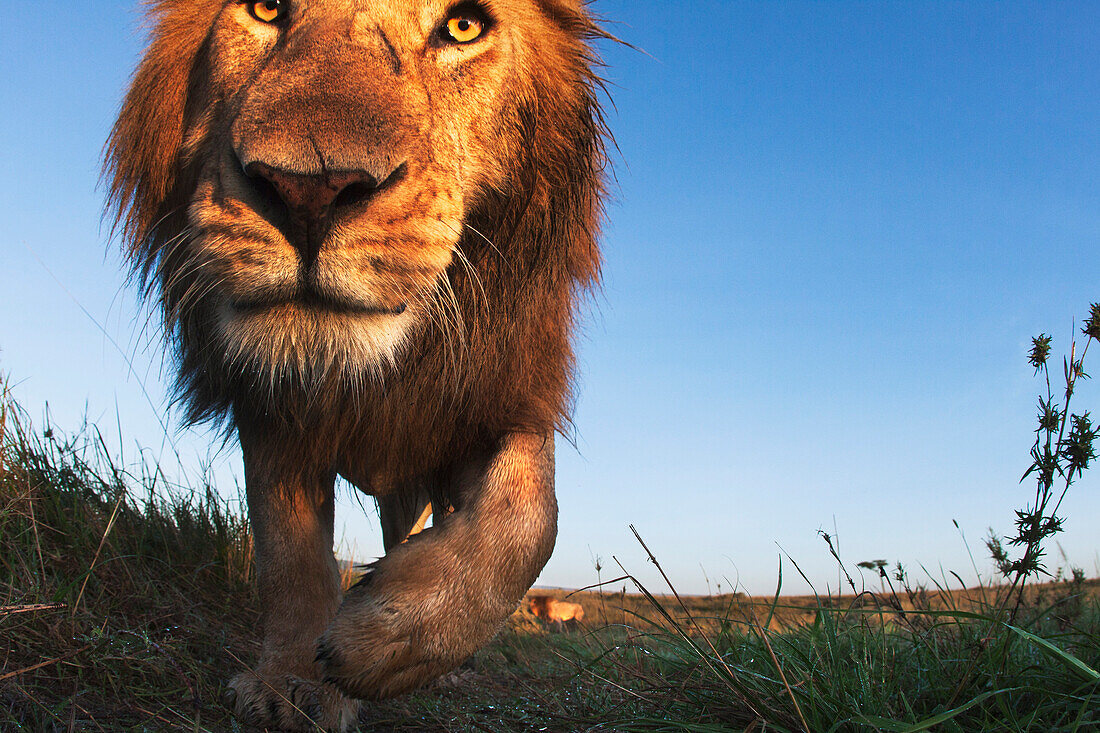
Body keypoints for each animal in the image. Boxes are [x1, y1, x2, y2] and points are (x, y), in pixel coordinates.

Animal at [103, 2, 611, 726]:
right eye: (264, 9)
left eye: (464, 26)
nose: (308, 191)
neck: (364, 378)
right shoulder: (274, 418)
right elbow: (290, 559)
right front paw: (287, 682)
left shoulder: (499, 397)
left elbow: (531, 516)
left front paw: (388, 635)